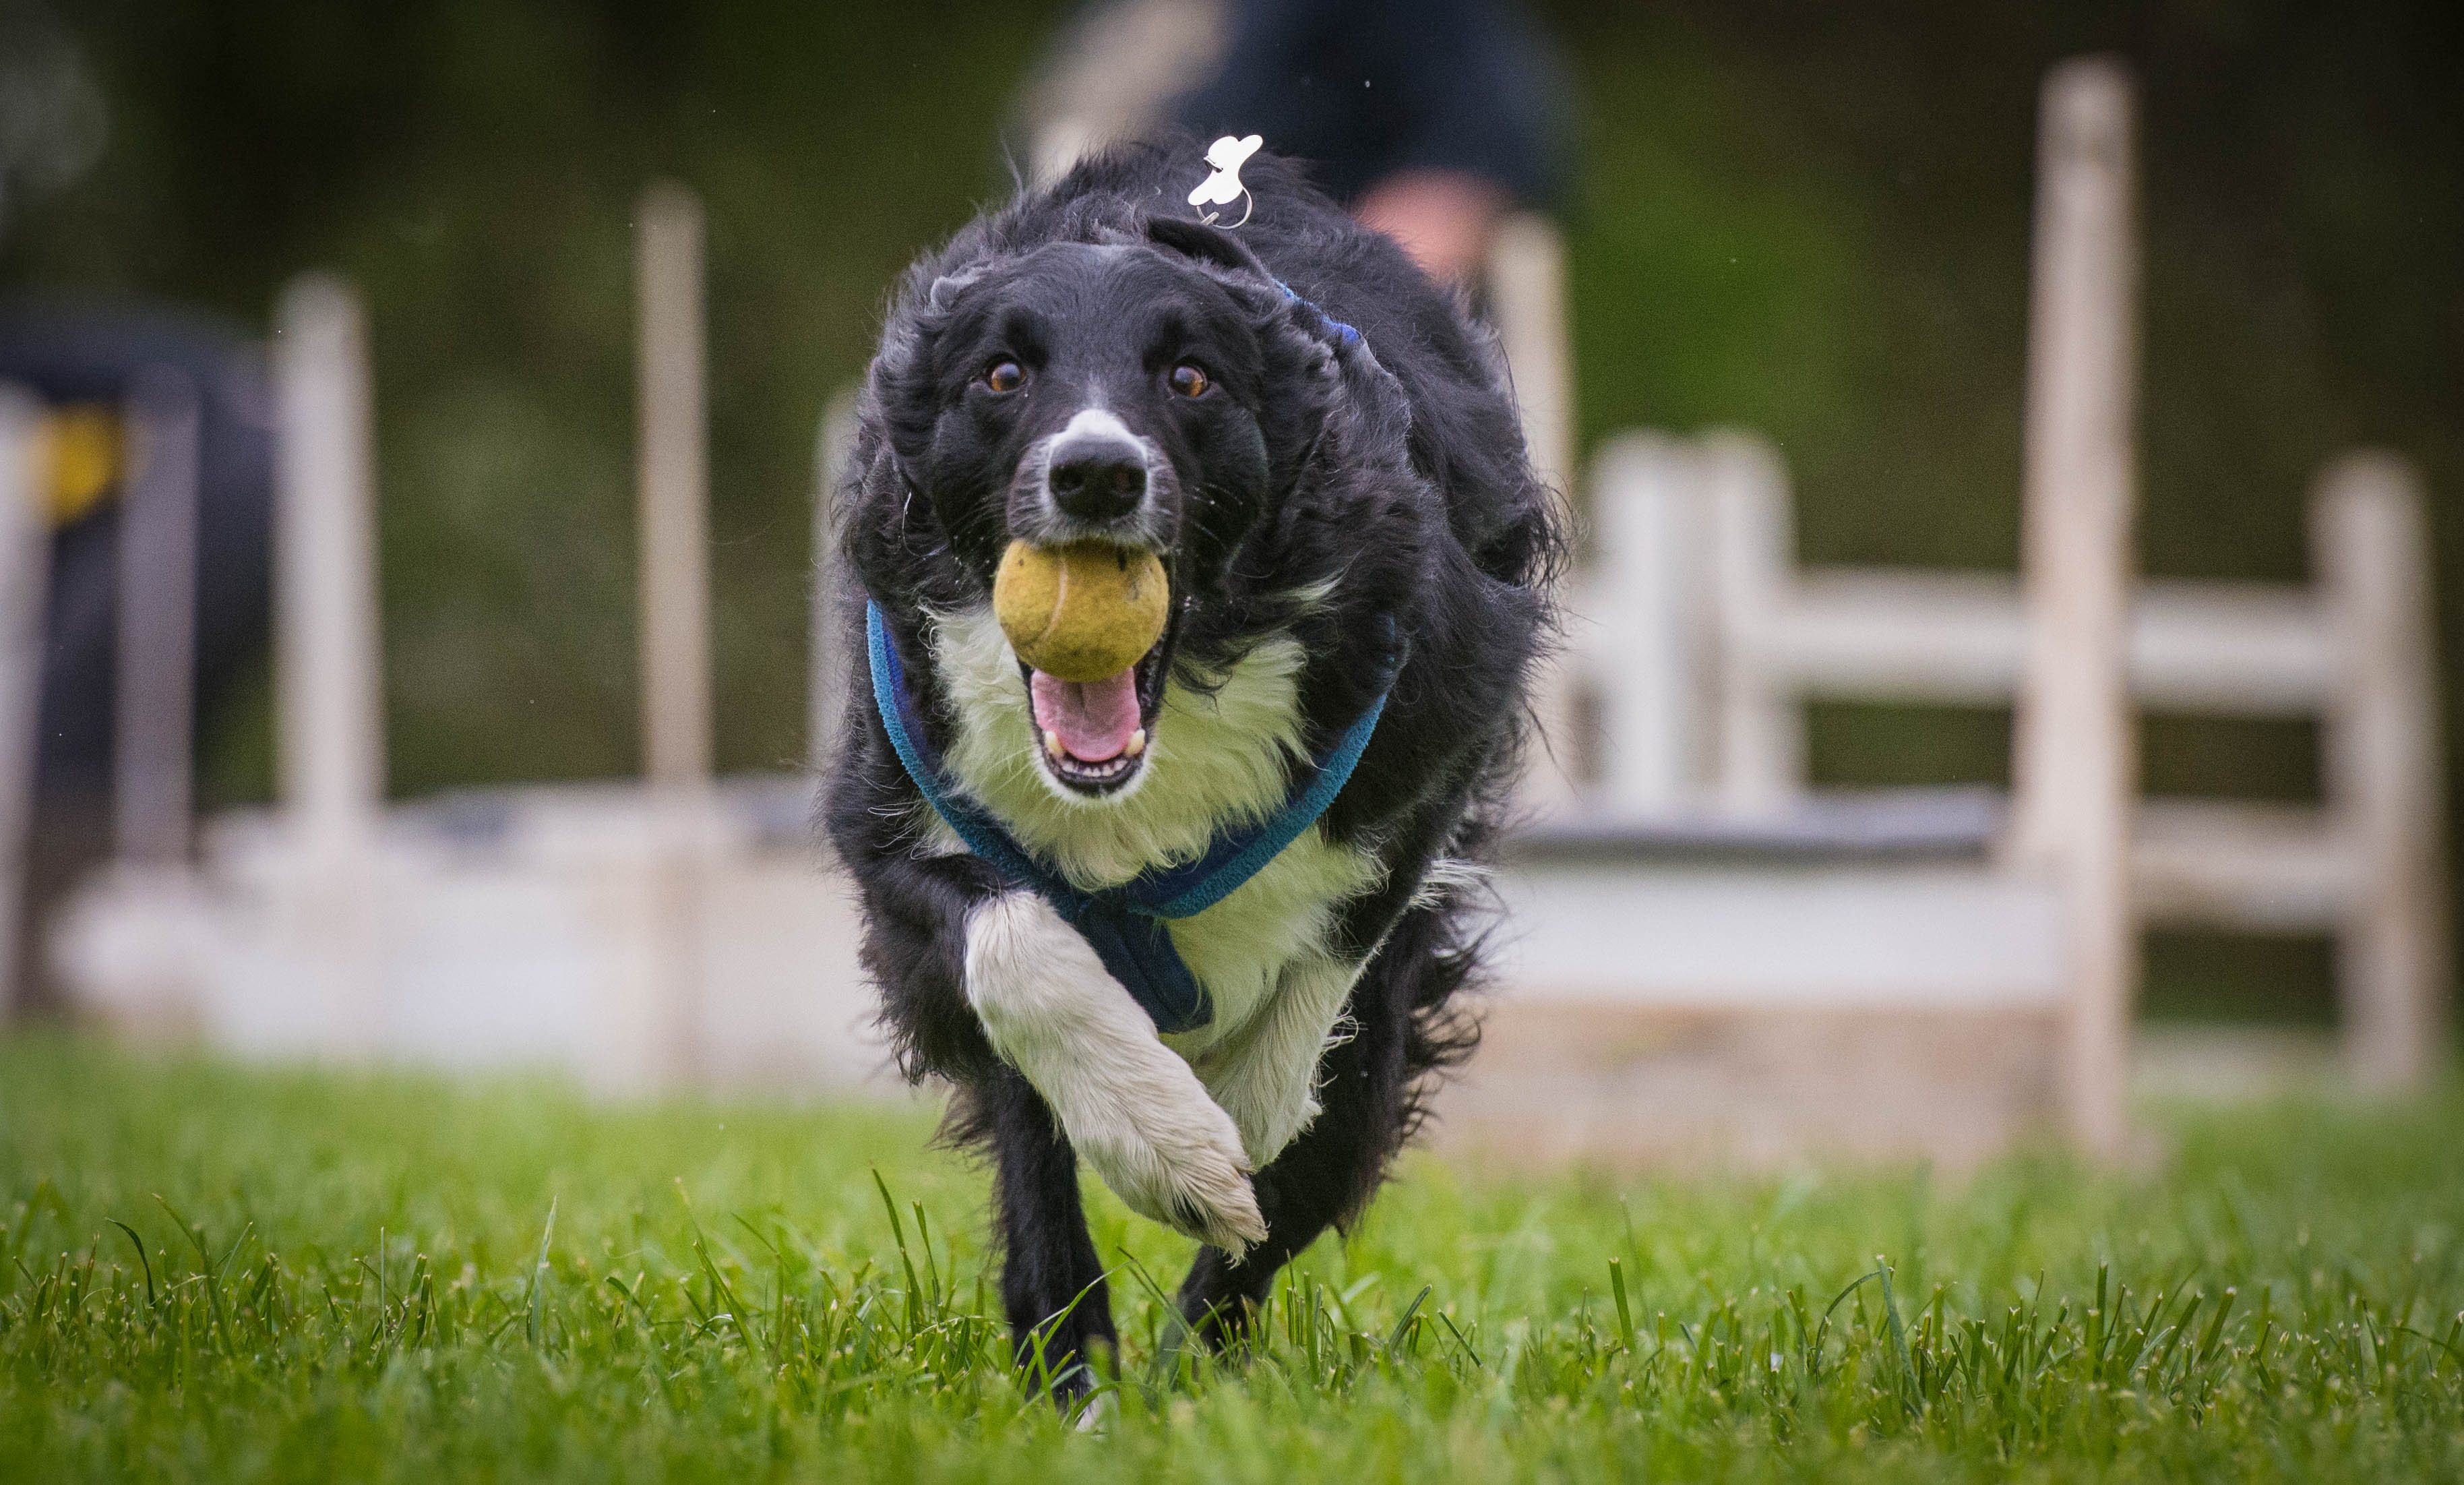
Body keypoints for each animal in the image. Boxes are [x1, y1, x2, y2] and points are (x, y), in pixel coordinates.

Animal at [826, 138, 1556, 1396]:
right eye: (1001, 374)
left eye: (1192, 378)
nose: (1097, 474)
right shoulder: (892, 802)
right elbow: (1013, 946)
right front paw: (1165, 1145)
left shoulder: (1435, 725)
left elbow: (1342, 930)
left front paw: (1239, 1114)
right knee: (1037, 1166)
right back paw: (1077, 1379)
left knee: (1316, 1159)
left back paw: (1189, 1378)